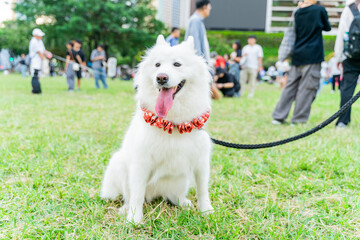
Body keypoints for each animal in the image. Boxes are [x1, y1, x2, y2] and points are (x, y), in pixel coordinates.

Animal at [100, 35, 214, 223]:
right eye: (157, 65)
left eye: (177, 64)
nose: (161, 78)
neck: (173, 124)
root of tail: (155, 195)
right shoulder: (141, 162)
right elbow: (137, 195)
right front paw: (134, 218)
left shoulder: (200, 162)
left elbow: (203, 191)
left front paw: (206, 211)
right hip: (120, 163)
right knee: (128, 196)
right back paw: (125, 209)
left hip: (180, 180)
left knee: (174, 196)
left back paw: (183, 202)